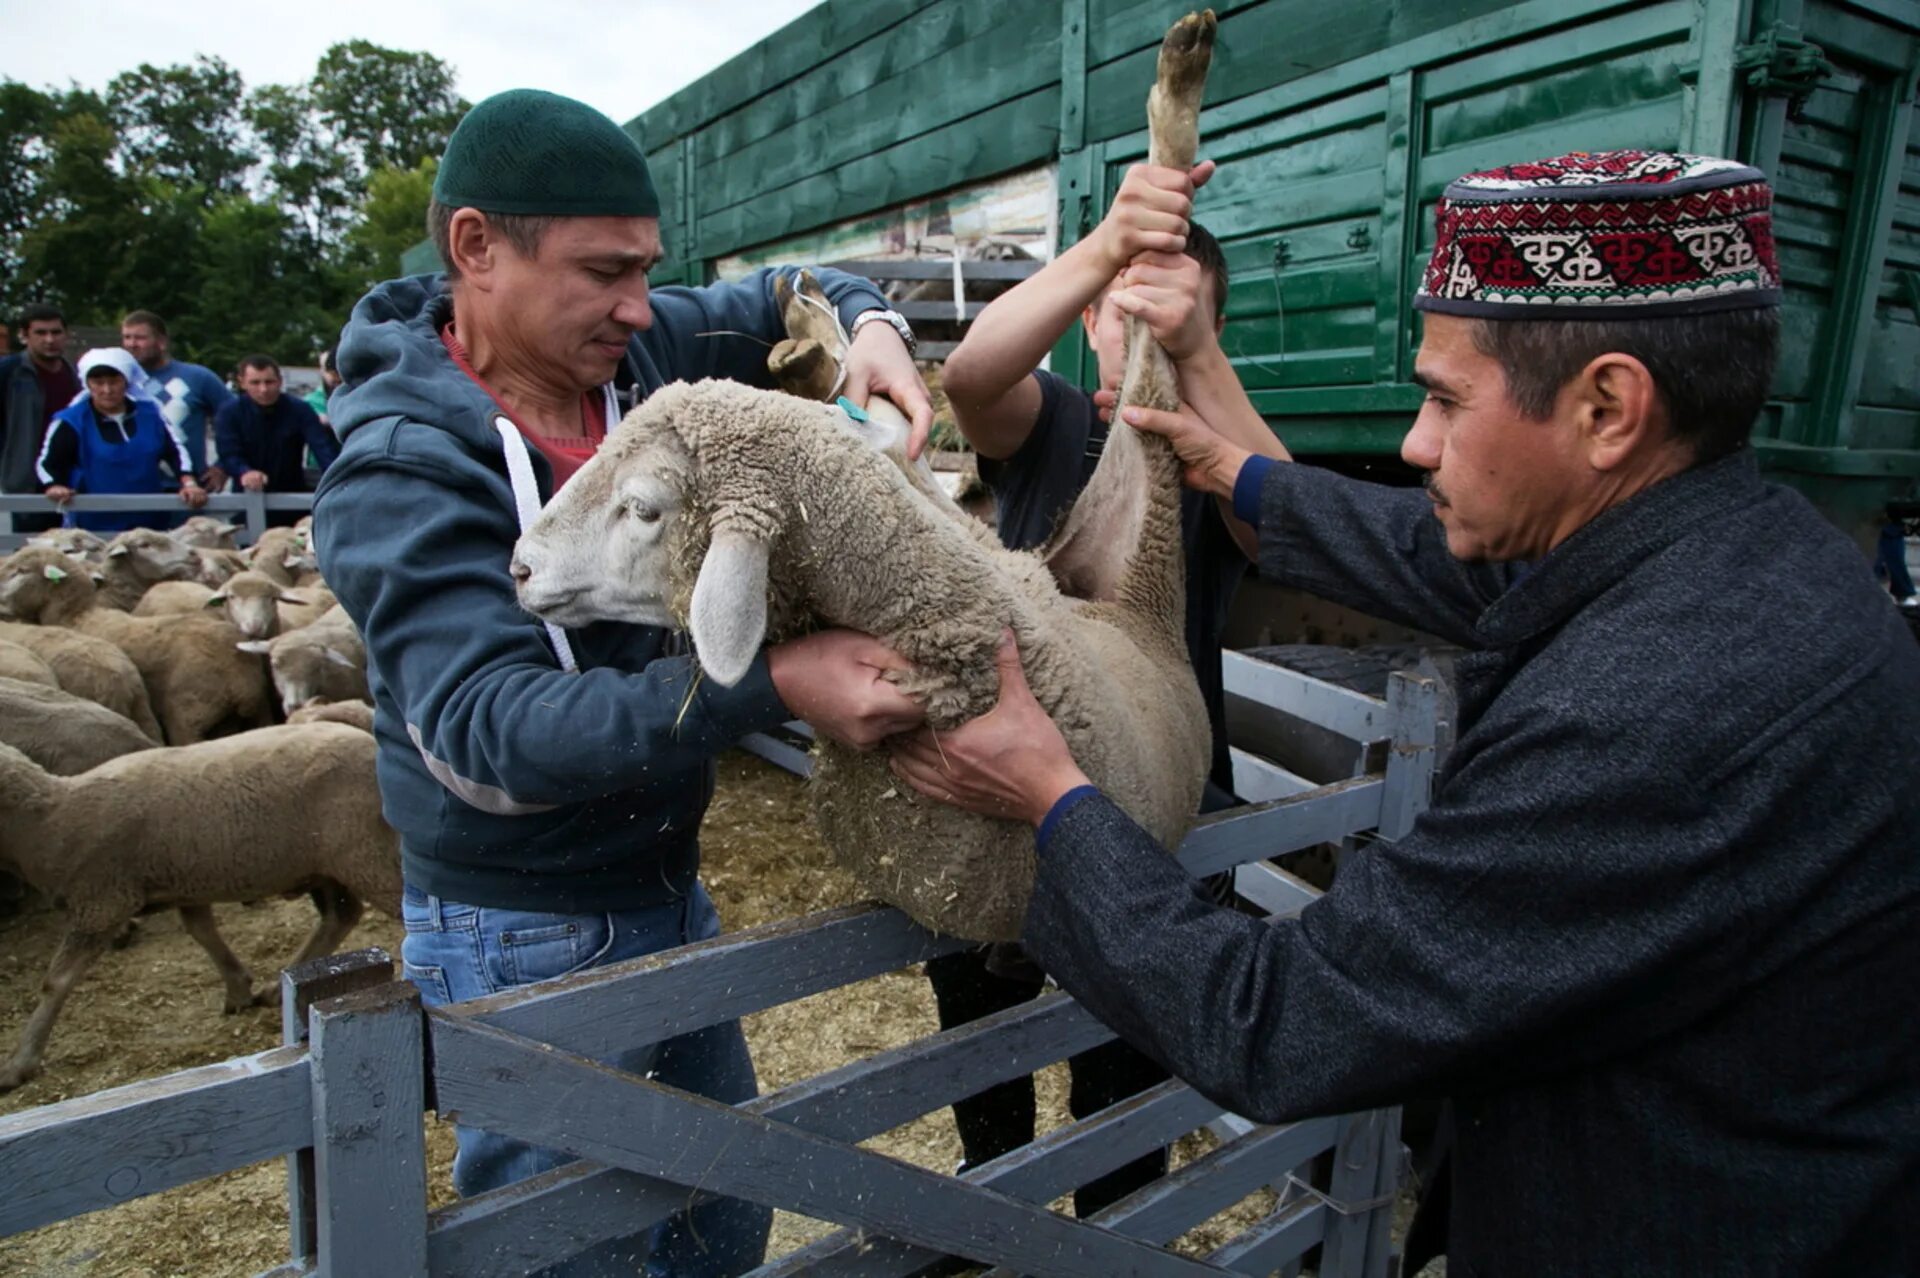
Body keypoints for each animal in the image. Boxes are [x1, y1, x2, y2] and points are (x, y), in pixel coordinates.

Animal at [0, 721, 401, 1089]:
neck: (52, 817)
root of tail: (367, 742)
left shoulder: (101, 901)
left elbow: (56, 981)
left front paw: (20, 1063)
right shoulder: (183, 884)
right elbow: (202, 931)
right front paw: (238, 988)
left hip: (364, 852)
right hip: (324, 865)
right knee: (340, 916)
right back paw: (280, 985)